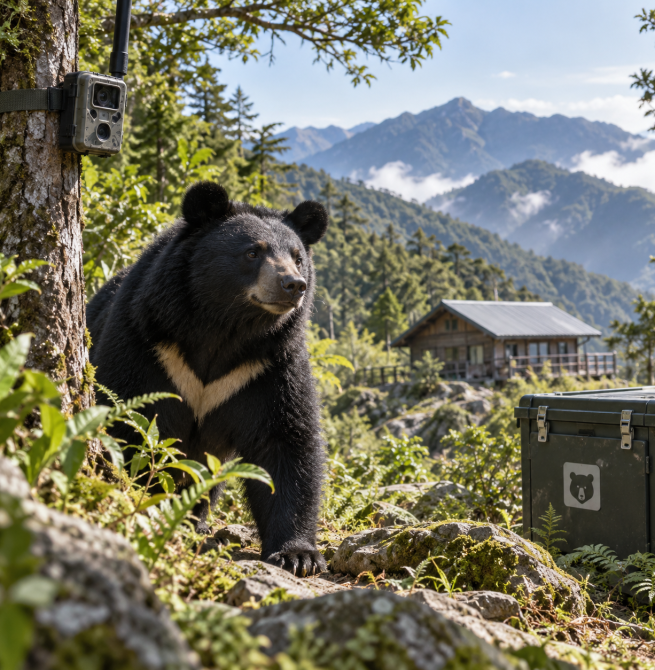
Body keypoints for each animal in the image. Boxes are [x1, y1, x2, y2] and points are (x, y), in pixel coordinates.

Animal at [86, 181, 329, 576]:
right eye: (252, 252)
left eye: (297, 256)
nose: (294, 285)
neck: (224, 328)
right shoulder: (148, 342)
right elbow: (128, 417)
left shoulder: (267, 368)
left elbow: (286, 442)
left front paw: (298, 555)